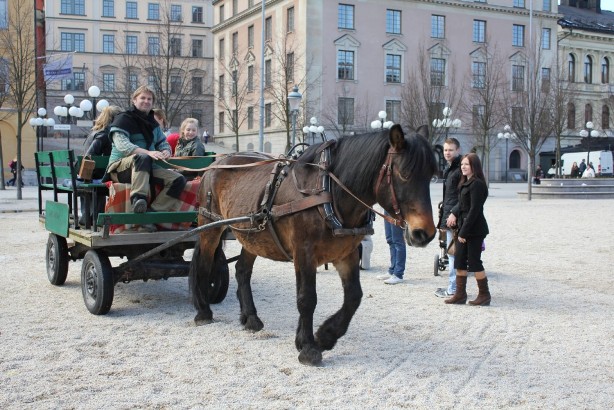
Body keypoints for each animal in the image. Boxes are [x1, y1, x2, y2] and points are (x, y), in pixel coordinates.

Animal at [191, 125, 438, 366]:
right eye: (404, 174)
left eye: (431, 175)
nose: (425, 233)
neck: (328, 192)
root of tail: (216, 163)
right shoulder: (304, 253)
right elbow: (307, 298)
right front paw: (309, 347)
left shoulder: (346, 254)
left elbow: (353, 297)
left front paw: (324, 336)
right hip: (210, 226)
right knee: (203, 266)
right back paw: (203, 311)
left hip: (252, 235)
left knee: (242, 270)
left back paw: (250, 317)